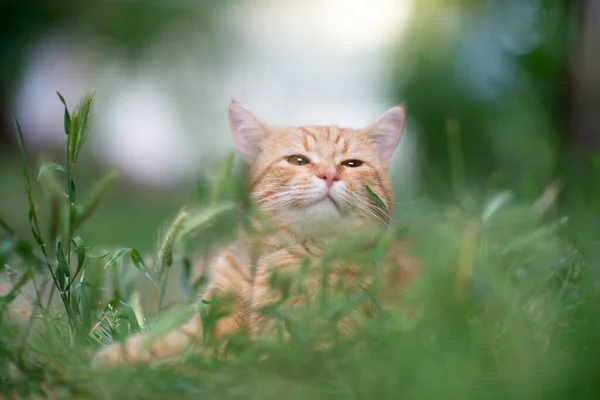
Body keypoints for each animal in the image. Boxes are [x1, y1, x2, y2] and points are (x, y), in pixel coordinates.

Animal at [91, 101, 420, 368]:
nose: (329, 175)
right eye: (298, 160)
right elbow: (147, 346)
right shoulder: (200, 328)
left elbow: (199, 365)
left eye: (352, 164)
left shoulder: (297, 349)